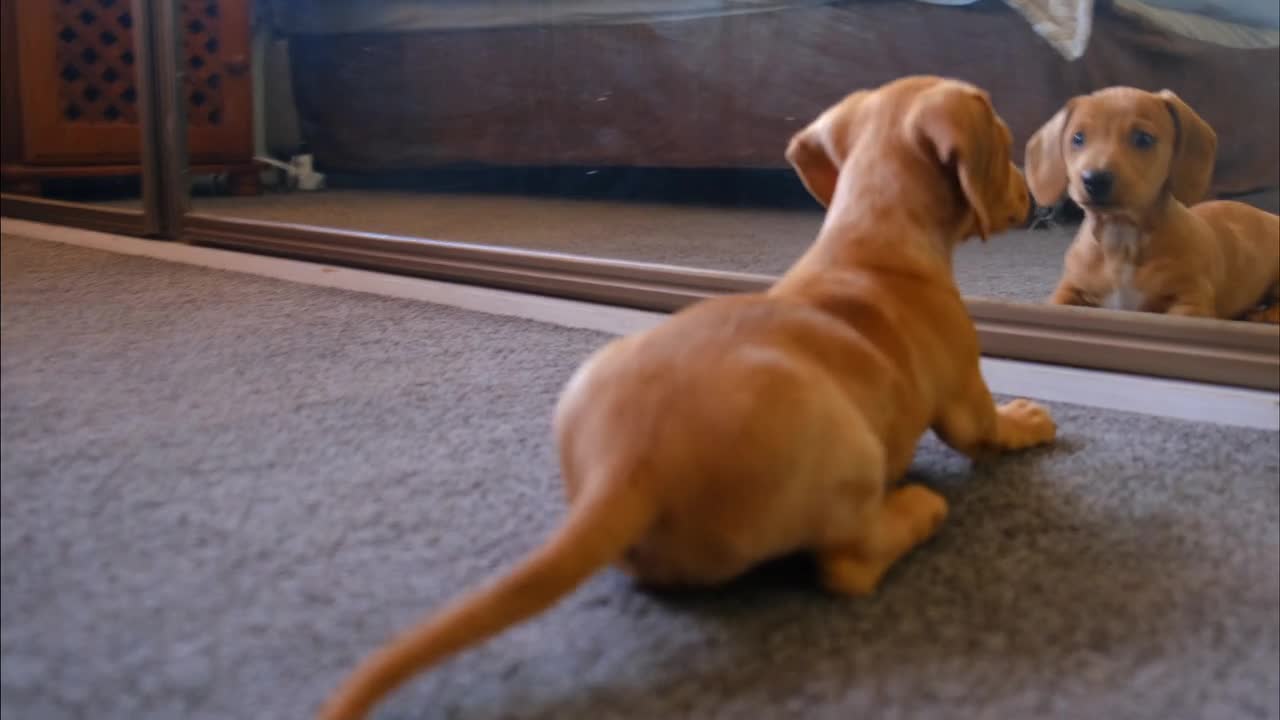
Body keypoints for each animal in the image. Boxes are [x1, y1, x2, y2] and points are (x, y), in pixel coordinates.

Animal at [322, 77, 1059, 717]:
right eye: (1004, 139)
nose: (1033, 198)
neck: (872, 236)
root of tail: (627, 466)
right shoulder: (964, 393)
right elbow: (988, 429)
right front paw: (1028, 417)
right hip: (847, 449)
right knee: (848, 564)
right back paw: (916, 510)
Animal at [1024, 85, 1280, 320]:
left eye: (1143, 138)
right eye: (1078, 138)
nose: (1095, 179)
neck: (1121, 240)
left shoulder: (1190, 301)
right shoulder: (1069, 290)